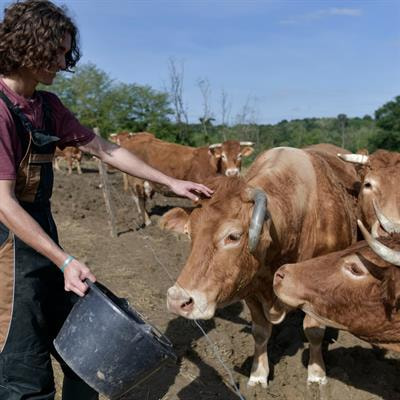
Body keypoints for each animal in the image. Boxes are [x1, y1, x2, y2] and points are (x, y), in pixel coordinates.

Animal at [159, 147, 360, 388]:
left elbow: (314, 331)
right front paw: (258, 374)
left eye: (233, 236)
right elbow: (260, 332)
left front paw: (317, 374)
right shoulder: (250, 287)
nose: (177, 300)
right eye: (189, 232)